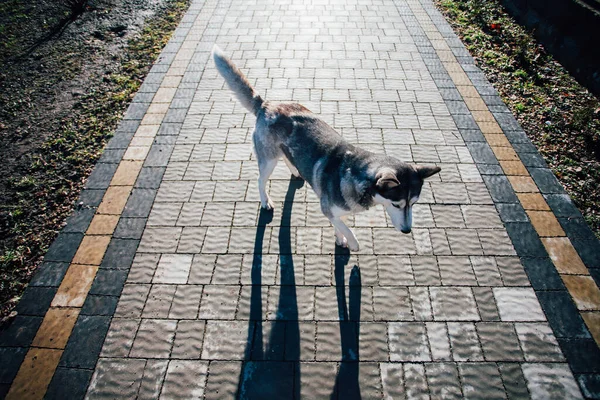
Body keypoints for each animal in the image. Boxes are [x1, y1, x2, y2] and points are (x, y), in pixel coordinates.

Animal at [213, 45, 438, 252]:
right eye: (397, 204)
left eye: (414, 203)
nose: (407, 231)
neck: (357, 178)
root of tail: (267, 104)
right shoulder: (326, 208)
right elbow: (345, 227)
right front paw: (352, 243)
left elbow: (339, 225)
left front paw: (340, 239)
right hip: (268, 159)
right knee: (260, 180)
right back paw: (265, 200)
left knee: (287, 156)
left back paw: (295, 169)